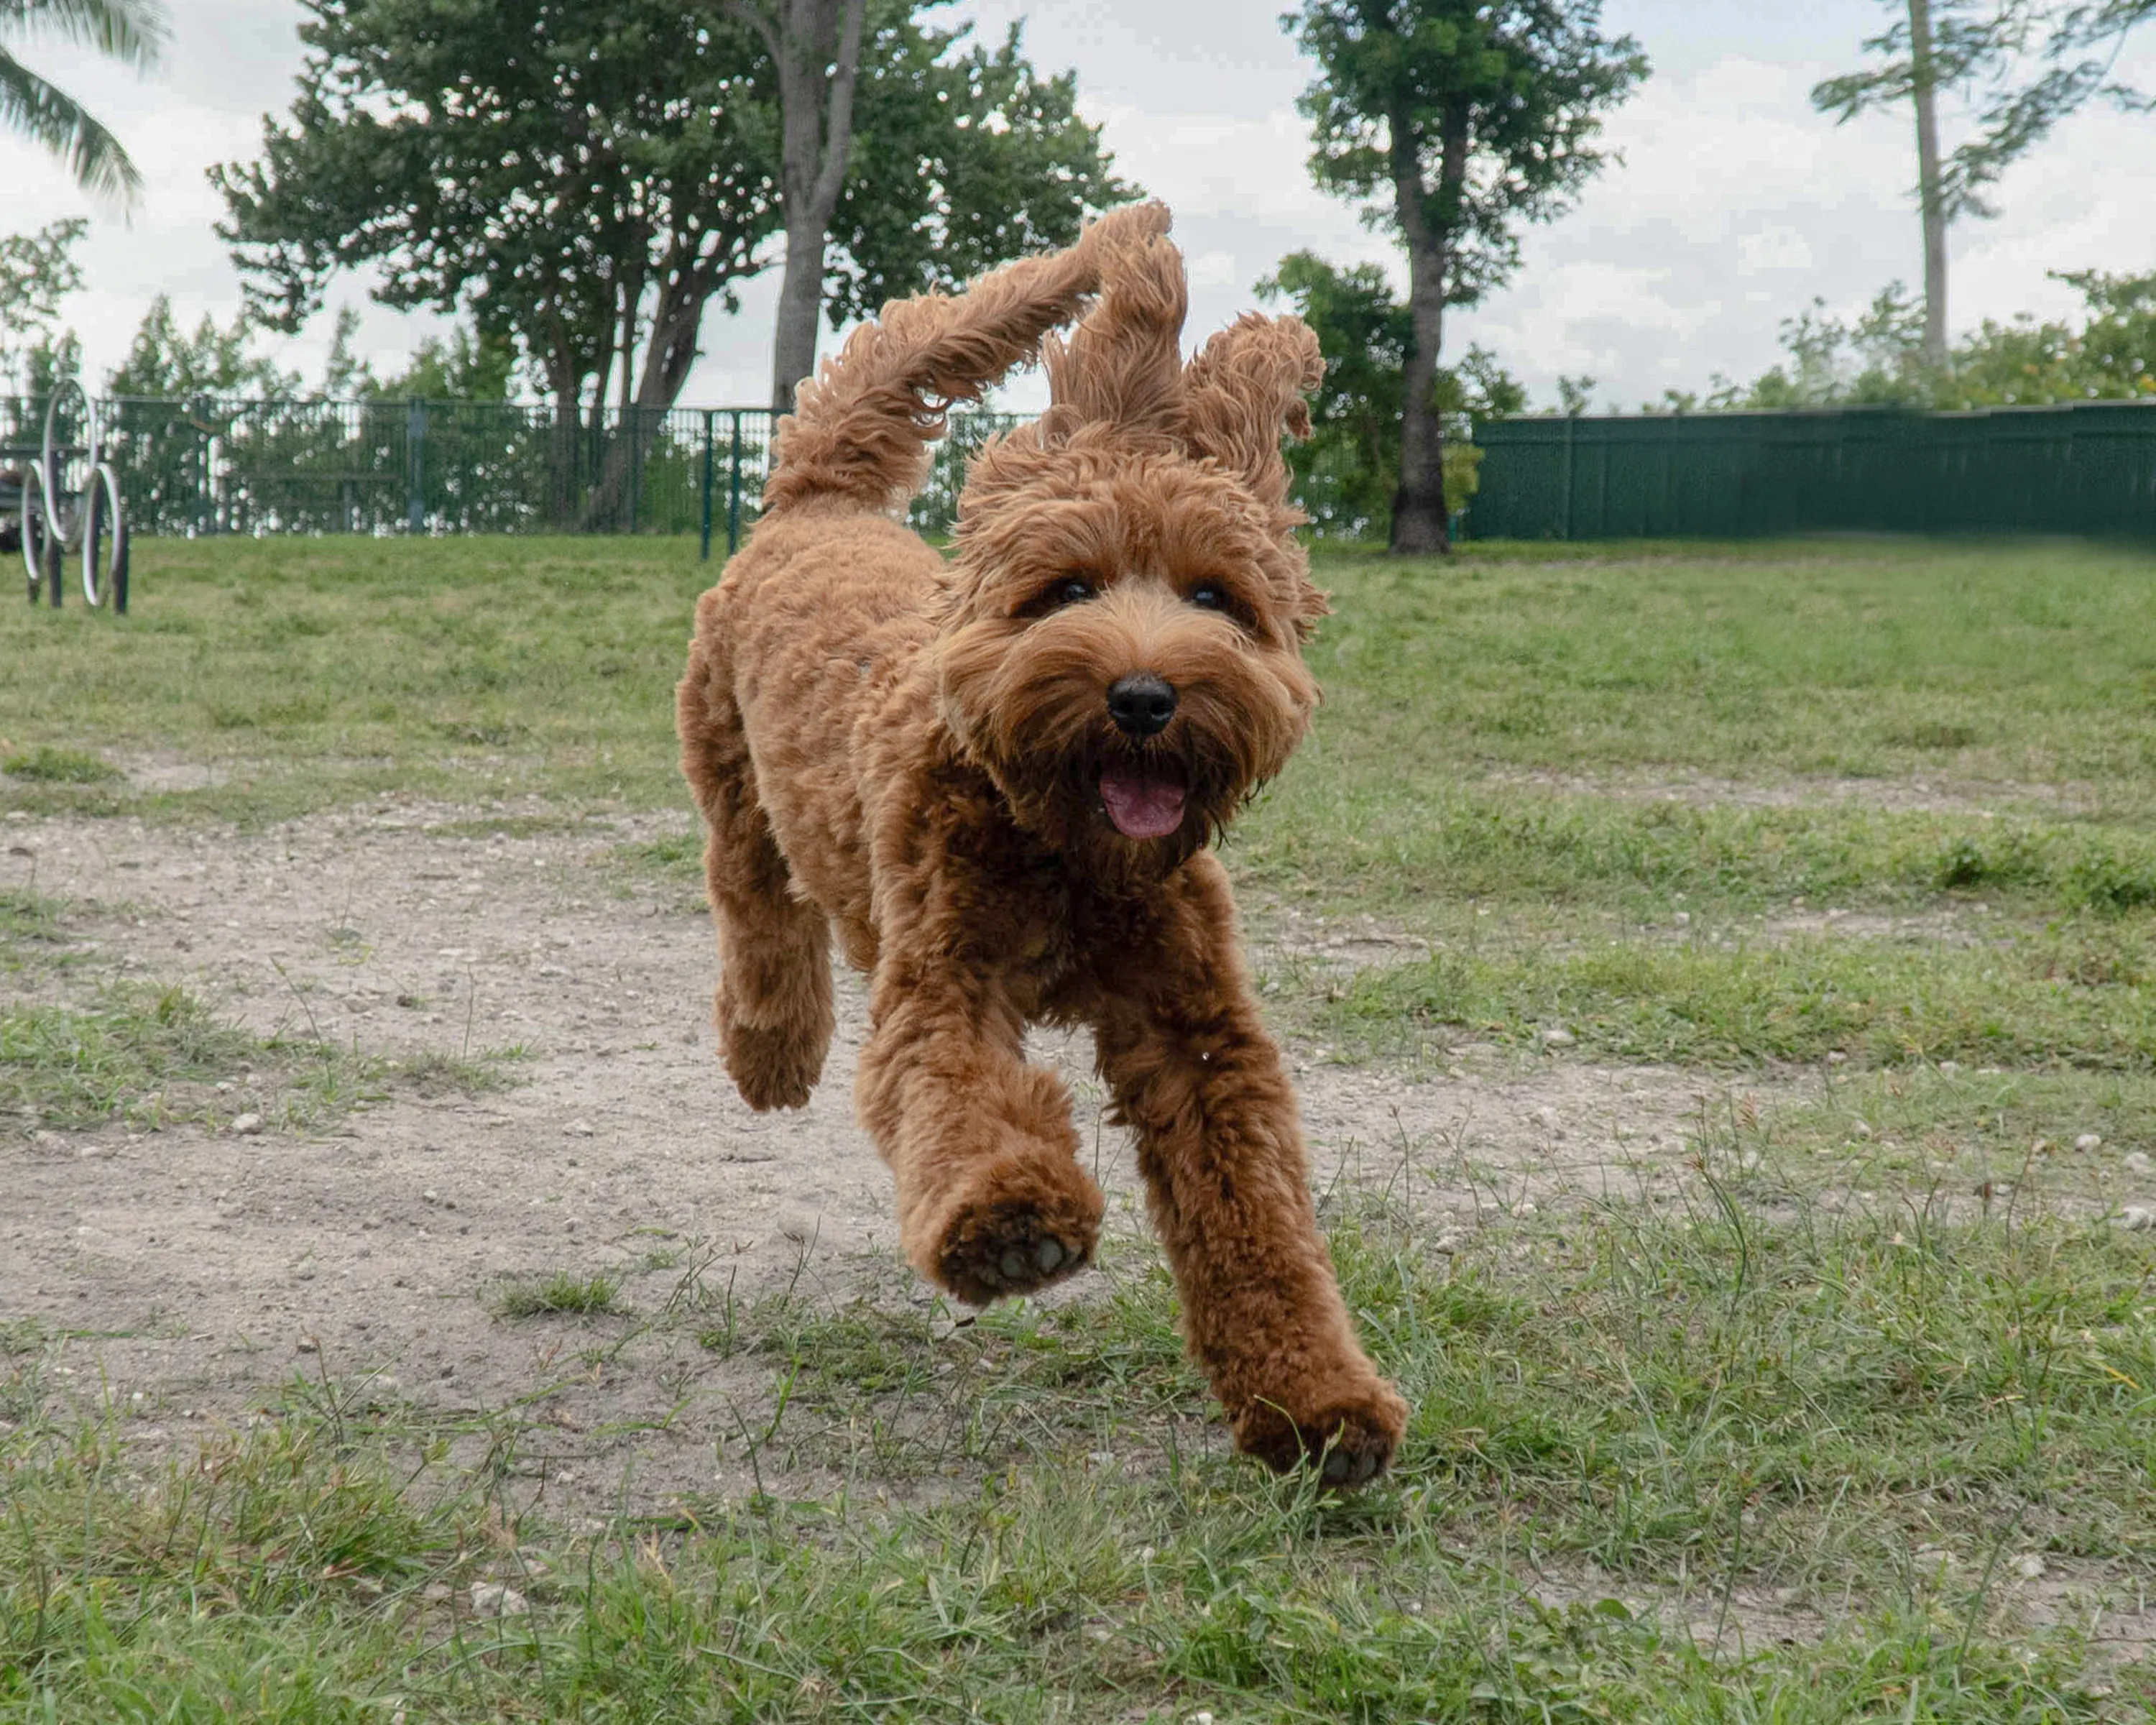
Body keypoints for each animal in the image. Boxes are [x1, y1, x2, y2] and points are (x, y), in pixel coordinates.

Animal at [677, 209, 1414, 1492]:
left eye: (1216, 598)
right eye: (1067, 587)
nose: (1144, 696)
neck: (1070, 856)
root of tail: (819, 504)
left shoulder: (1198, 1031)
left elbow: (1257, 1215)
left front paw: (1317, 1402)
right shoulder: (944, 983)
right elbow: (962, 1098)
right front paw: (1011, 1226)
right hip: (729, 769)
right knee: (755, 904)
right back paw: (771, 1049)